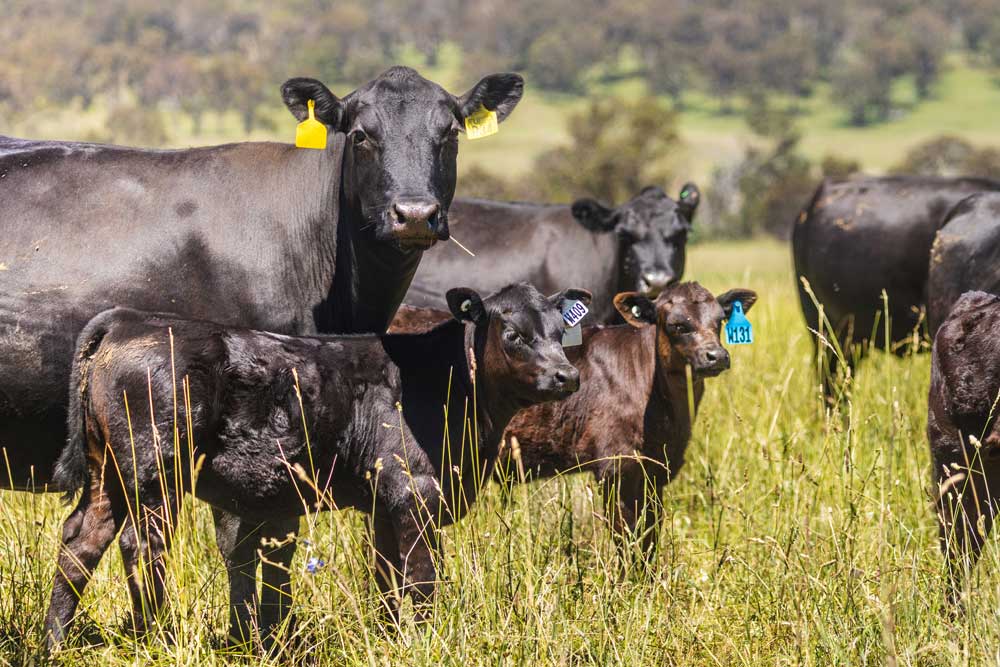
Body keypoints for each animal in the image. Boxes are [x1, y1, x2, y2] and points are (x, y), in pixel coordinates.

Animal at [45, 282, 588, 647]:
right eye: (513, 334)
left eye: (562, 332)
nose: (567, 376)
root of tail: (131, 319)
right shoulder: (415, 491)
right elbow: (419, 578)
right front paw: (423, 641)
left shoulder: (383, 502)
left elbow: (387, 579)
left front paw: (390, 639)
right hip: (156, 469)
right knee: (142, 546)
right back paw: (157, 637)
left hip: (107, 472)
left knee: (81, 540)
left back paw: (55, 641)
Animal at [391, 282, 756, 562]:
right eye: (678, 324)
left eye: (720, 320)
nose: (716, 356)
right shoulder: (616, 467)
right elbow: (628, 542)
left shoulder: (656, 472)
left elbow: (650, 538)